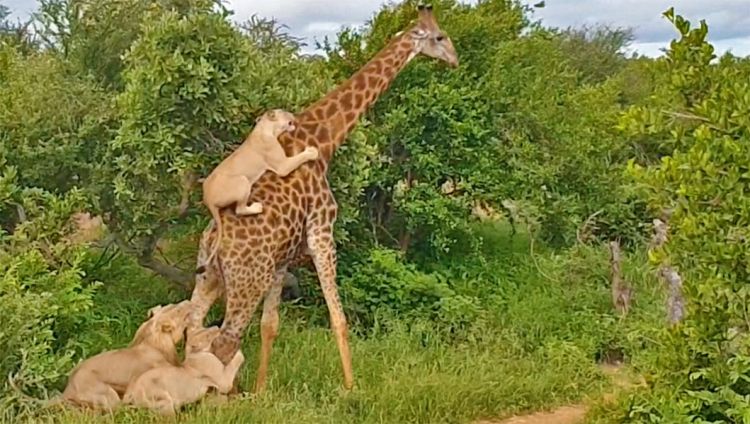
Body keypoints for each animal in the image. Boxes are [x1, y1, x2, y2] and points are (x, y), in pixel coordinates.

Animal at [198, 107, 318, 270]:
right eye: (284, 111)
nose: (293, 115)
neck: (264, 128)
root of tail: (207, 199)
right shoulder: (282, 166)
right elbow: (299, 158)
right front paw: (312, 152)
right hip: (243, 181)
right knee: (239, 209)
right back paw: (257, 207)